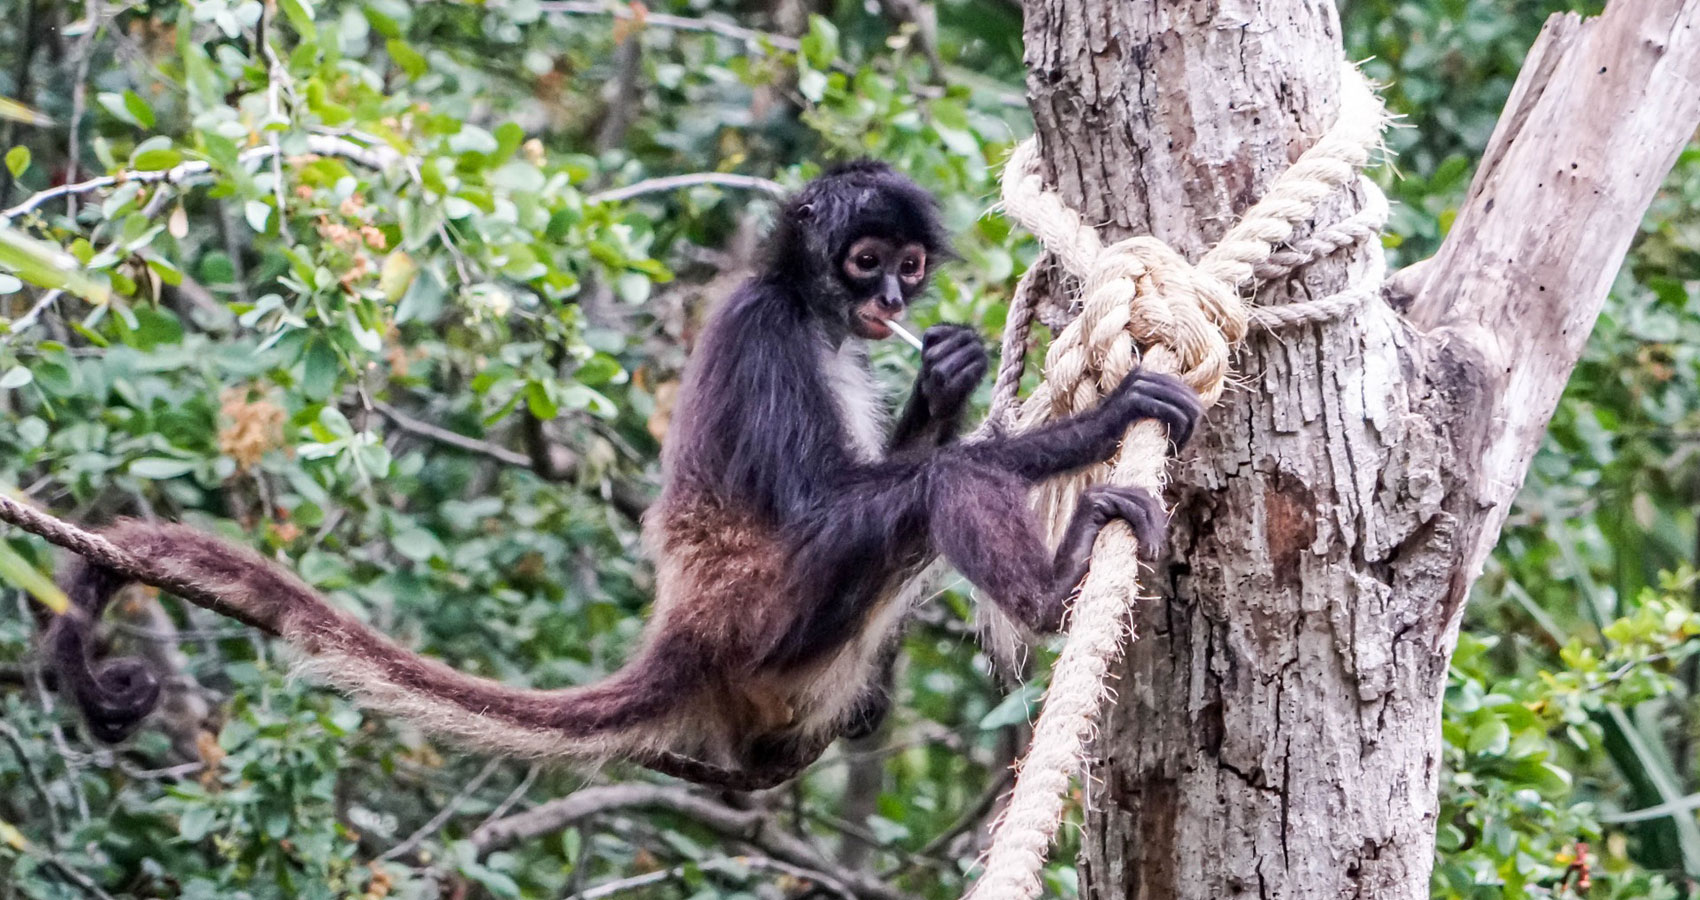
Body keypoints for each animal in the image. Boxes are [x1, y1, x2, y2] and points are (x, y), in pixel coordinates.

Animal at [43, 161, 1210, 786]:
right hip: (768, 615)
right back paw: (1056, 590)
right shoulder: (764, 331)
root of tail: (685, 629)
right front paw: (1098, 419)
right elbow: (837, 498)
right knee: (932, 494)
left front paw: (946, 375)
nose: (888, 299)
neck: (811, 308)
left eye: (908, 268)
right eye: (863, 261)